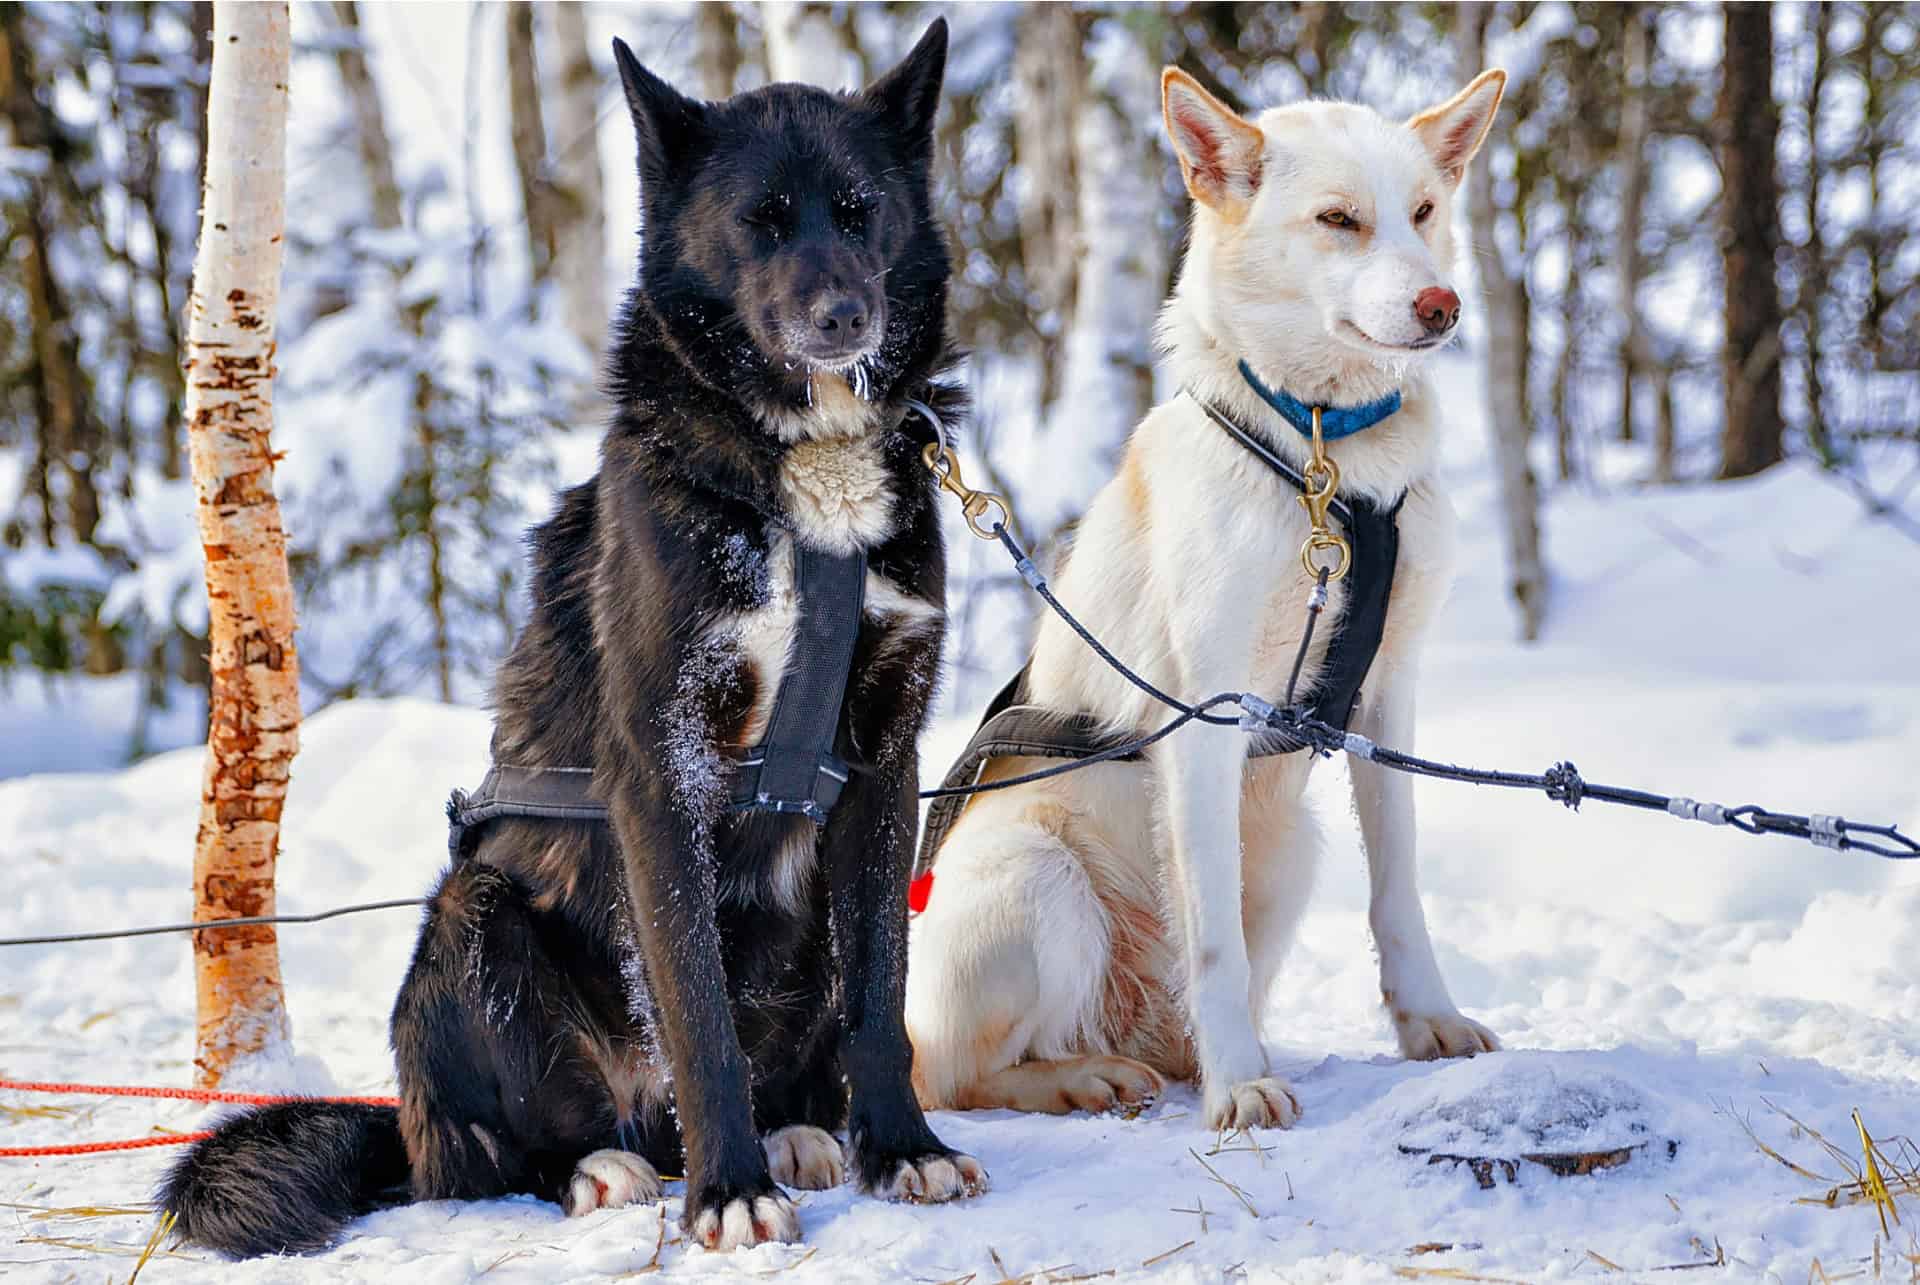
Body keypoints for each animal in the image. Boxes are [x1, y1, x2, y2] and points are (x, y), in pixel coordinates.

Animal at [157, 22, 983, 1252]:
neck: (798, 492)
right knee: (482, 1156)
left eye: (859, 208)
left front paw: (904, 1146)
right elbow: (695, 1013)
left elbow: (881, 992)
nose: (846, 318)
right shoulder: (661, 772)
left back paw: (801, 1129)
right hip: (475, 919)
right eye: (761, 219)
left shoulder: (885, 767)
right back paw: (602, 1165)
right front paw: (730, 1193)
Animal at [906, 67, 1505, 1129]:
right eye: (1340, 219)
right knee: (962, 1075)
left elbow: (1397, 892)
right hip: (1039, 876)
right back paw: (1096, 1075)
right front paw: (1242, 1084)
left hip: (1294, 848)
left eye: (1425, 213)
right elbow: (1212, 936)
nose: (1442, 305)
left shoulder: (1390, 698)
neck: (1326, 456)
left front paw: (1426, 1020)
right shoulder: (1204, 718)